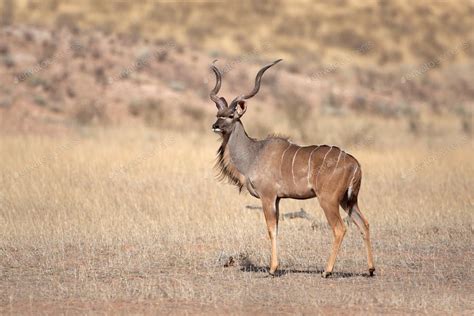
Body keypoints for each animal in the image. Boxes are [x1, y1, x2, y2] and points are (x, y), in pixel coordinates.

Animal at [209, 59, 376, 276]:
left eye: (230, 115)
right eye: (218, 114)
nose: (215, 125)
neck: (254, 153)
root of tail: (355, 164)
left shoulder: (268, 196)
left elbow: (271, 229)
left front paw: (273, 269)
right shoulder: (278, 199)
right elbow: (277, 229)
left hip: (328, 200)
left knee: (340, 229)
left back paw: (327, 271)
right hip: (349, 200)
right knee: (364, 224)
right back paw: (371, 269)